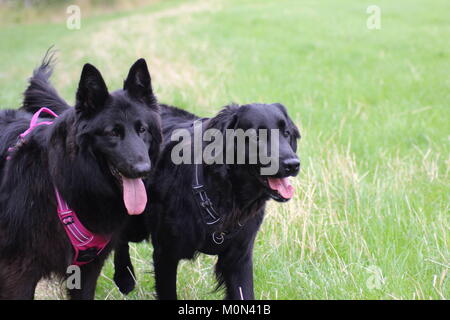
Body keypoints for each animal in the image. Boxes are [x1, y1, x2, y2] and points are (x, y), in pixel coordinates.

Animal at [114, 103, 300, 300]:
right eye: (257, 136)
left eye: (286, 133)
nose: (293, 164)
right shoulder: (166, 253)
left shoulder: (239, 257)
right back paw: (124, 278)